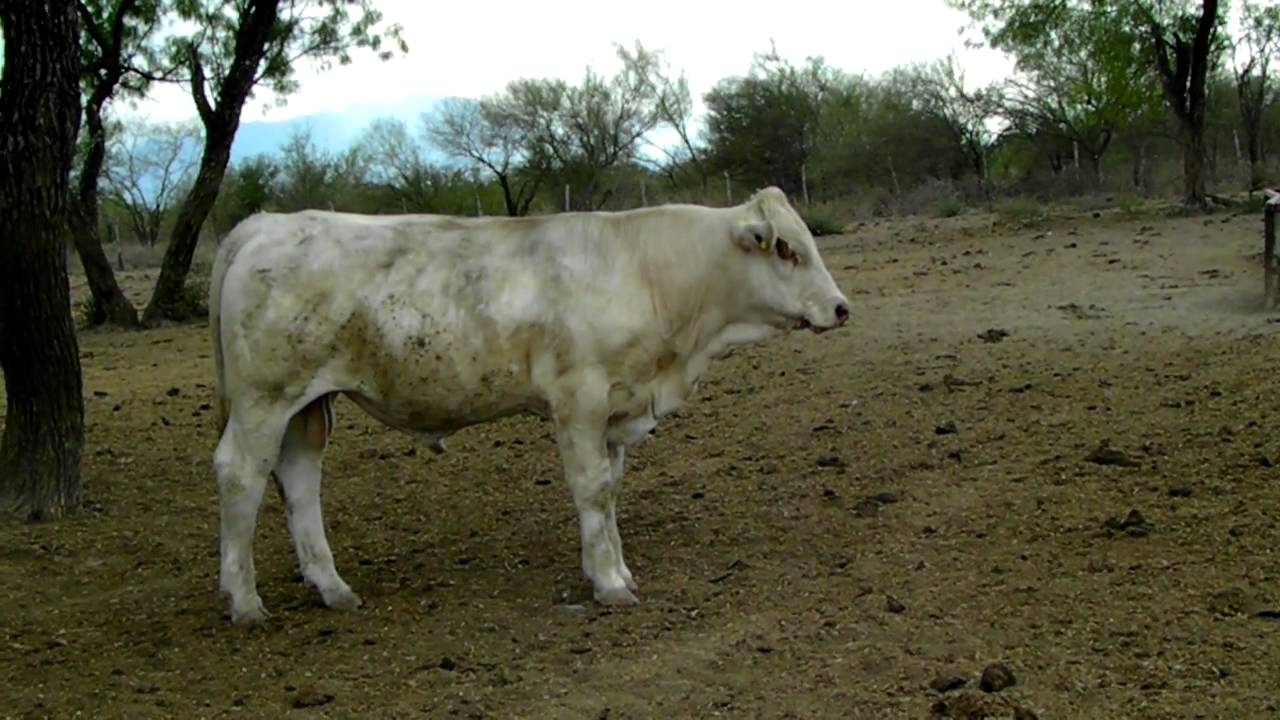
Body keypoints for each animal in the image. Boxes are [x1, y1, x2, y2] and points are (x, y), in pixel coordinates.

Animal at [209, 185, 849, 622]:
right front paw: (610, 584)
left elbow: (611, 491)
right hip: (264, 399)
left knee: (299, 480)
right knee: (240, 475)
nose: (842, 308)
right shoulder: (580, 401)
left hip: (306, 407)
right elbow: (592, 489)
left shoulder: (616, 410)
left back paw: (332, 588)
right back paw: (244, 601)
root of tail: (266, 224)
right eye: (786, 249)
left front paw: (615, 567)